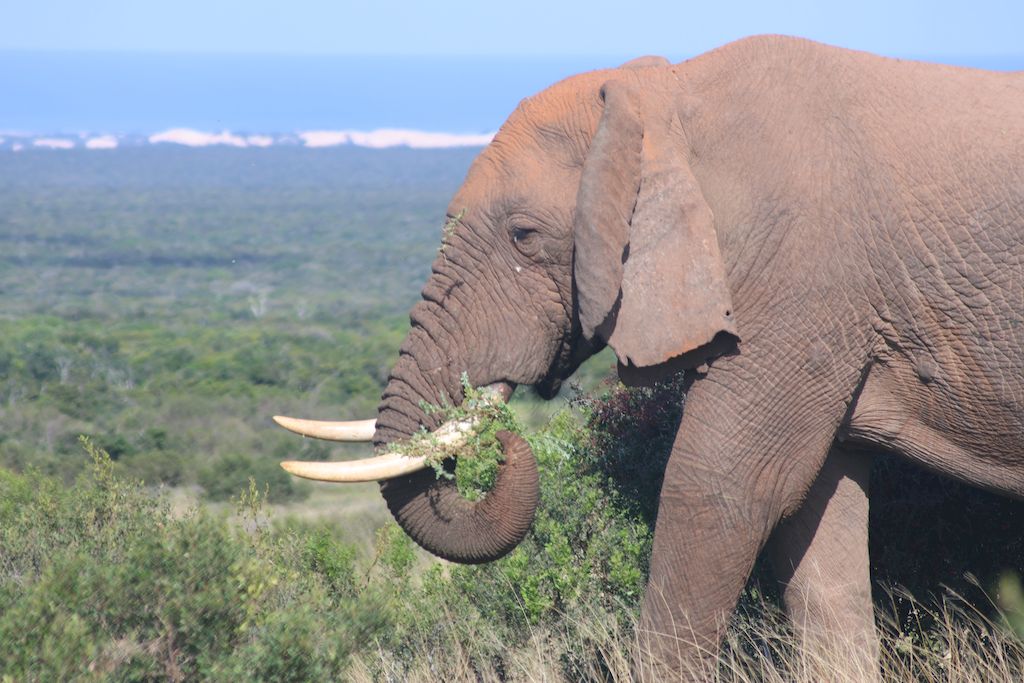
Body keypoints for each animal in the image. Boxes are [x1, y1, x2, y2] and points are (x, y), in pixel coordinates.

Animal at [274, 35, 1024, 679]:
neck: (669, 97)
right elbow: (817, 515)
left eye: (524, 236)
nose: (505, 440)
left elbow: (719, 485)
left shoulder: (800, 278)